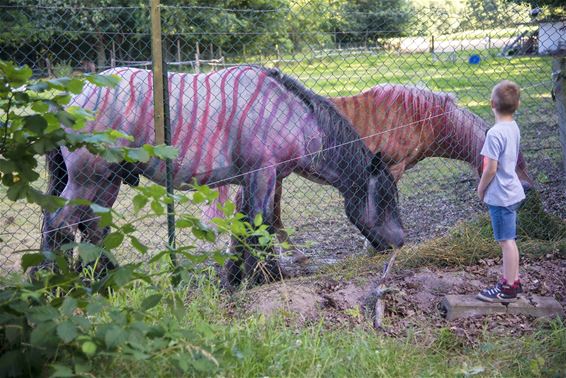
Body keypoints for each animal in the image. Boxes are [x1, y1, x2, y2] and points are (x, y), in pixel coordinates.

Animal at [42, 66, 406, 284]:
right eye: (387, 198)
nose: (400, 244)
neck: (292, 115)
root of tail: (72, 96)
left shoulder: (249, 181)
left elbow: (243, 229)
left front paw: (233, 280)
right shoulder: (263, 175)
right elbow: (262, 226)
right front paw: (266, 278)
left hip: (108, 181)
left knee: (91, 228)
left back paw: (99, 280)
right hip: (89, 180)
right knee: (60, 224)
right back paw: (54, 281)